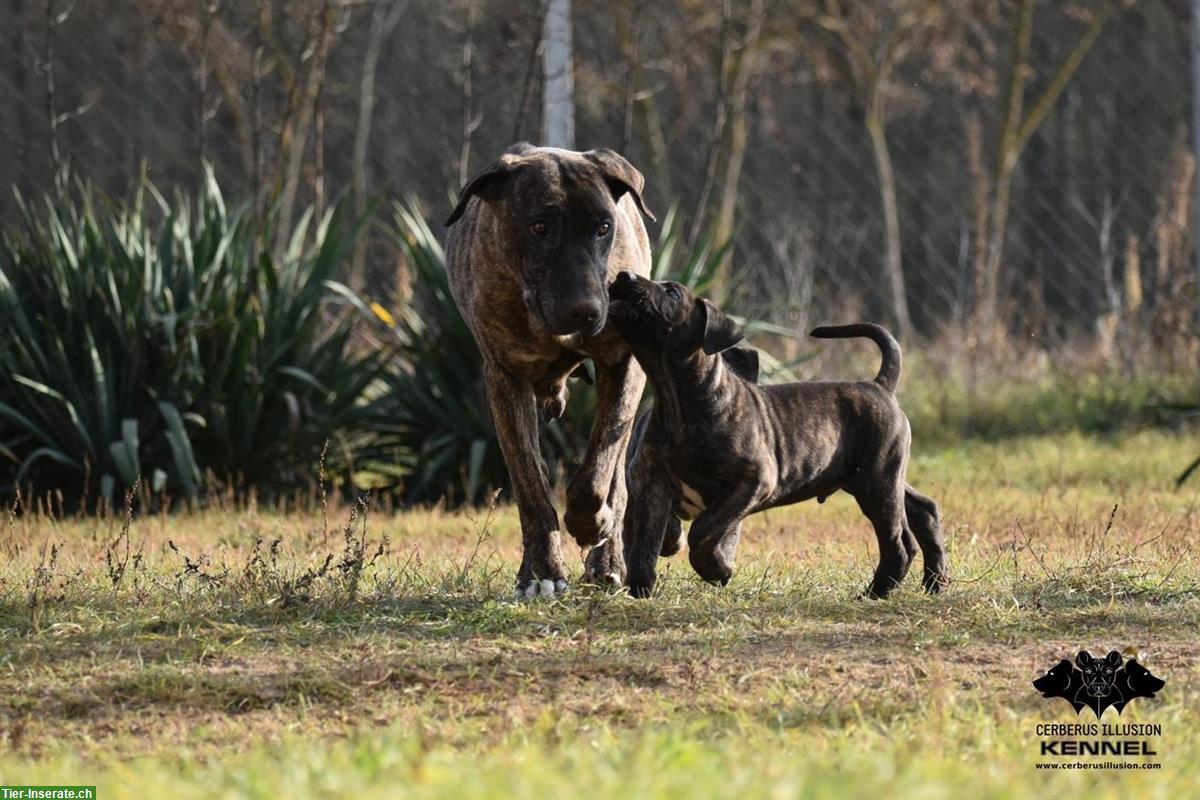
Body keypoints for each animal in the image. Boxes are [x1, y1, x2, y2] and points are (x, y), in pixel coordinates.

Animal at [446, 142, 657, 599]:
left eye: (603, 227)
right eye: (539, 227)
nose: (586, 310)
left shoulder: (625, 363)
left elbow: (598, 469)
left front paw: (590, 523)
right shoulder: (504, 378)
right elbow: (530, 483)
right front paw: (541, 571)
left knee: (617, 476)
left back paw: (608, 560)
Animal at [614, 272, 950, 597]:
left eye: (672, 293)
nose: (624, 275)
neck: (677, 399)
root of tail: (879, 385)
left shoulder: (753, 482)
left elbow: (704, 529)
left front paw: (716, 569)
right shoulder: (650, 485)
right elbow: (644, 544)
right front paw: (640, 591)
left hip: (877, 481)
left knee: (898, 542)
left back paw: (877, 592)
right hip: (873, 477)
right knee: (923, 509)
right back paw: (934, 582)